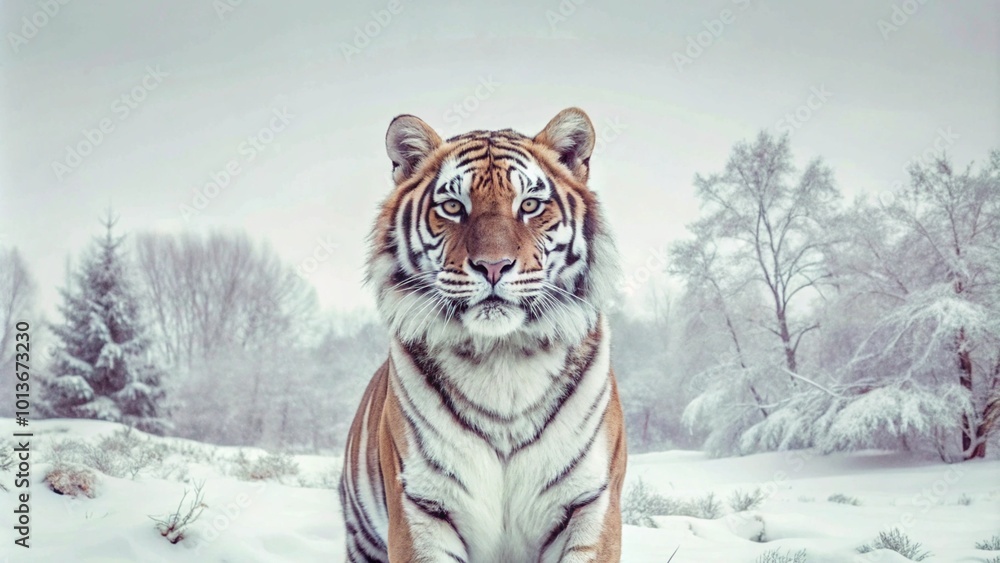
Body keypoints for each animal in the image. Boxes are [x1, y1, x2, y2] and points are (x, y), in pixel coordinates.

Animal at [339, 107, 626, 562]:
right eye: (453, 207)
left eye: (530, 205)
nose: (493, 266)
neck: (502, 357)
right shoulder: (421, 507)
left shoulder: (589, 502)